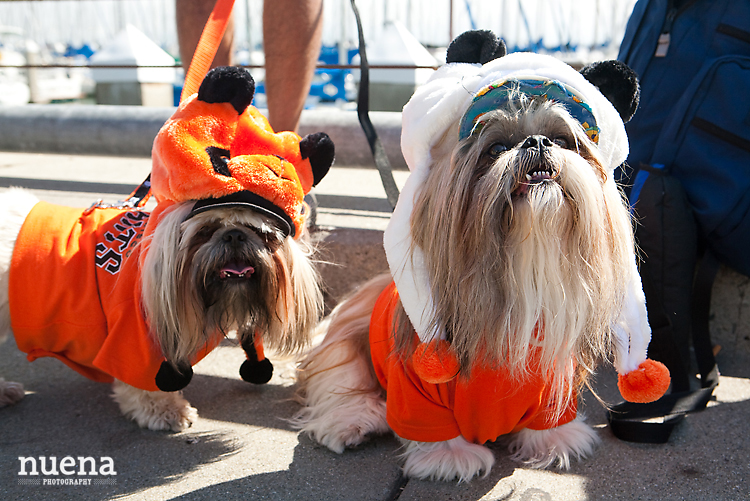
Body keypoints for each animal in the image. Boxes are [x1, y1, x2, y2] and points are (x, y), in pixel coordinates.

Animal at [0, 66, 334, 432]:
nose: (234, 236)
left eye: (260, 232)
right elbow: (145, 386)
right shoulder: (135, 341)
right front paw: (165, 411)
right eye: (206, 231)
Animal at [294, 30, 668, 480]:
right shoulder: (416, 384)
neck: (522, 270)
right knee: (338, 387)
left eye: (563, 140)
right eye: (495, 148)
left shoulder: (550, 382)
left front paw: (553, 440)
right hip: (344, 346)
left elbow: (548, 421)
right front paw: (450, 456)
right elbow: (430, 424)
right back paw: (353, 421)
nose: (536, 142)